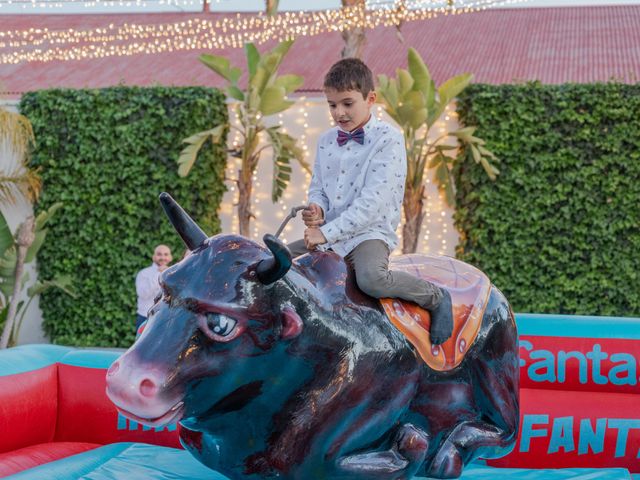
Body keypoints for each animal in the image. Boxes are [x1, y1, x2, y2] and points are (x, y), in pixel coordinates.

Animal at [106, 193, 520, 478]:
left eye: (222, 324)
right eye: (161, 291)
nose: (126, 383)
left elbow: (398, 451)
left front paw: (415, 445)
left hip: (497, 370)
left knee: (504, 432)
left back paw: (448, 455)